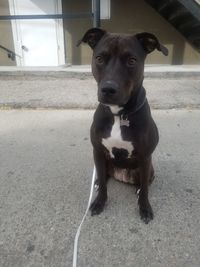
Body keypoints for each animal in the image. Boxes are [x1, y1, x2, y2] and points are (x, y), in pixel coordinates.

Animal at [79, 28, 168, 224]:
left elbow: (145, 190)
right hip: (104, 162)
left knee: (144, 183)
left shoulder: (145, 157)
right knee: (104, 176)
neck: (118, 114)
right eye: (99, 58)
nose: (108, 89)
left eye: (132, 61)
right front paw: (99, 202)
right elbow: (103, 183)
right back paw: (98, 182)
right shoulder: (98, 151)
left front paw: (144, 208)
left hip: (148, 168)